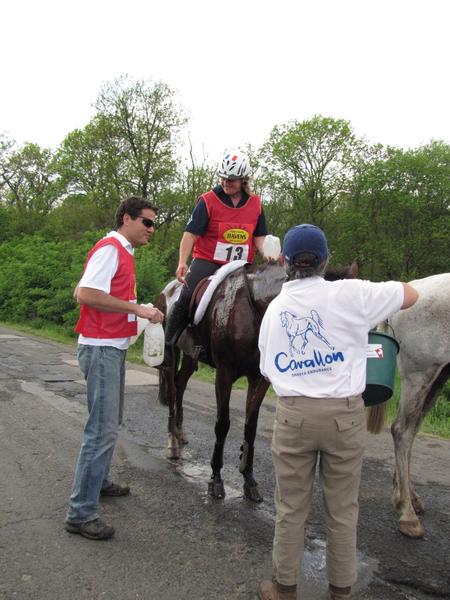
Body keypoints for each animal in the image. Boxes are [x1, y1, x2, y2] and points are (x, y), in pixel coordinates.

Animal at [156, 262, 356, 502]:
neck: (255, 310)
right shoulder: (224, 374)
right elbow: (222, 424)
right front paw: (215, 480)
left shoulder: (260, 379)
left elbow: (250, 426)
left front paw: (248, 478)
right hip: (173, 353)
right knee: (172, 389)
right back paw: (172, 443)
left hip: (189, 356)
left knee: (180, 385)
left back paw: (180, 433)